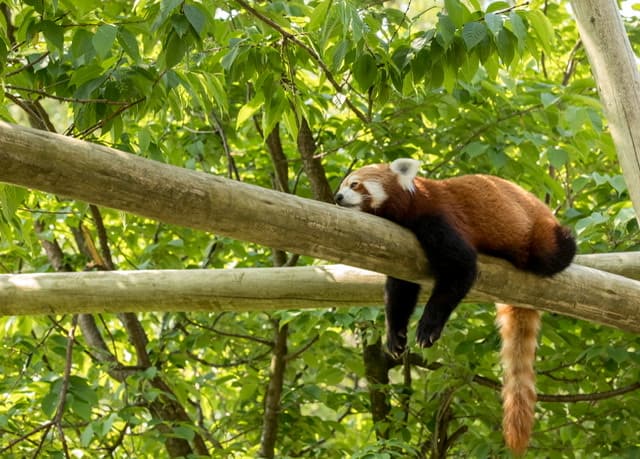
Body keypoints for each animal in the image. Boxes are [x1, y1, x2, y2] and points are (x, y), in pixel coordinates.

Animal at [336, 158, 576, 456]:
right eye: (342, 185)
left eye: (354, 184)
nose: (337, 197)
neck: (412, 203)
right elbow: (401, 291)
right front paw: (395, 335)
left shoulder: (439, 217)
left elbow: (461, 269)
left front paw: (428, 327)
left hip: (540, 233)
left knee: (554, 251)